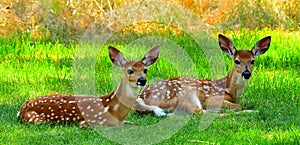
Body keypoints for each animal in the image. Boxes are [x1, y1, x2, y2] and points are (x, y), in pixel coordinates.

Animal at [17, 46, 161, 126]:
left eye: (145, 70)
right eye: (130, 70)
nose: (142, 80)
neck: (114, 110)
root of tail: (23, 107)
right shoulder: (90, 122)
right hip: (36, 119)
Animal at [134, 34, 270, 116]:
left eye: (252, 61)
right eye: (237, 61)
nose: (246, 73)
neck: (230, 90)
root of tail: (140, 98)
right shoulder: (213, 98)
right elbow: (237, 105)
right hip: (187, 95)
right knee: (201, 112)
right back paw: (252, 111)